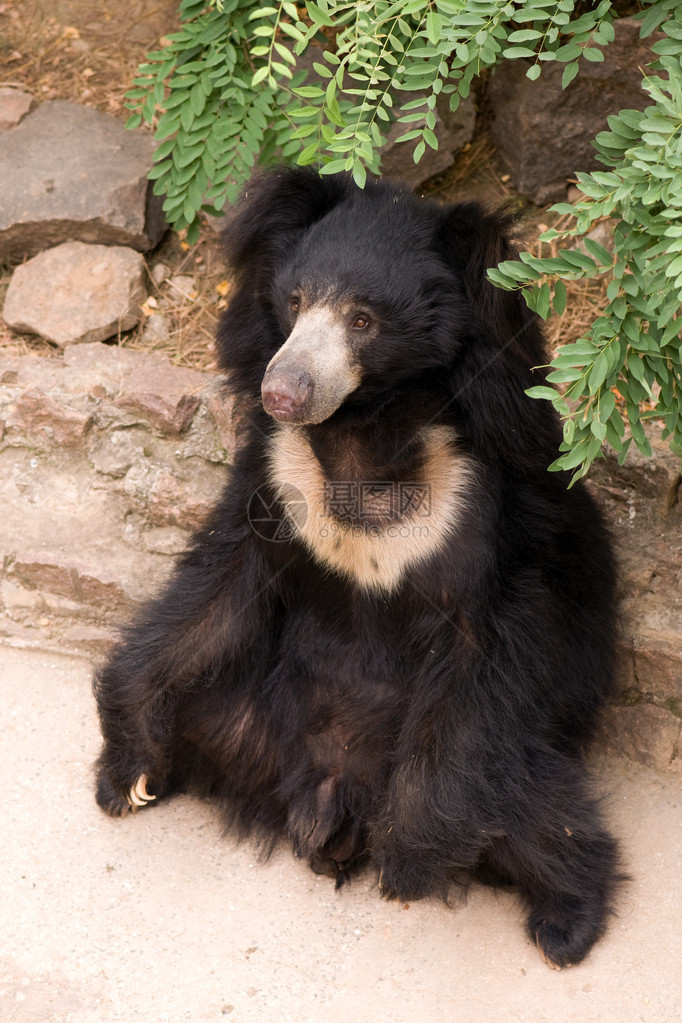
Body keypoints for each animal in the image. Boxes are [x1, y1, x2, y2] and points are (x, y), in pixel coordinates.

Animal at [96, 167, 625, 965]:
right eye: (293, 302)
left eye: (364, 320)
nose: (283, 390)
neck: (359, 441)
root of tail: (325, 806)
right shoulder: (276, 485)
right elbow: (210, 598)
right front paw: (126, 768)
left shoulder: (479, 518)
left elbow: (486, 655)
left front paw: (411, 862)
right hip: (245, 720)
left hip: (506, 758)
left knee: (534, 810)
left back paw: (567, 920)